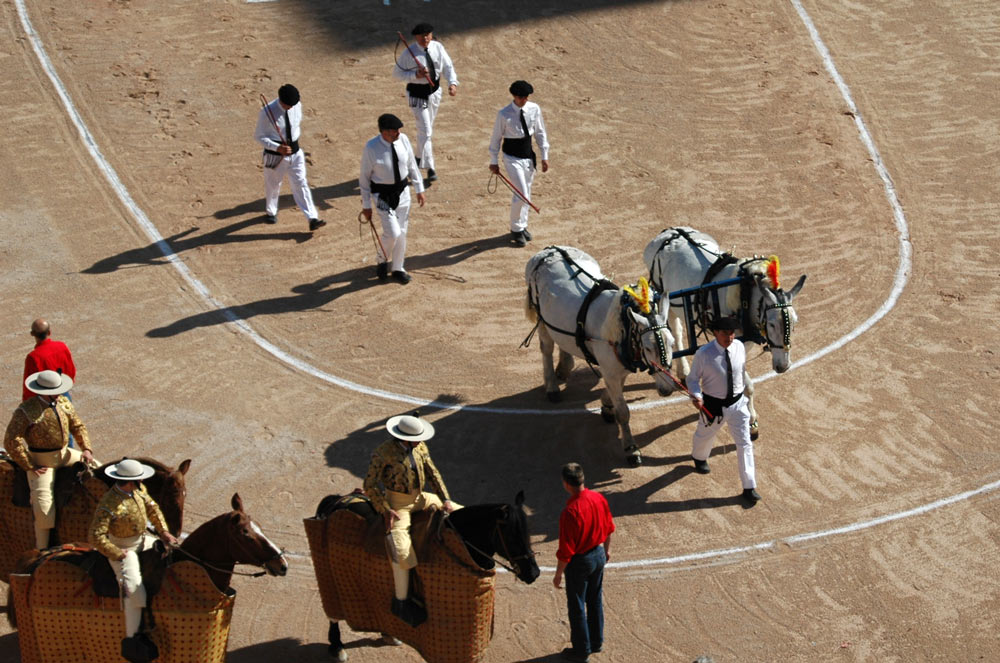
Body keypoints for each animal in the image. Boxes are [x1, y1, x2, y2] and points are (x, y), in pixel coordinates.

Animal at [318, 490, 540, 660]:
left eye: (528, 531)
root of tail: (338, 500)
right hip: (330, 575)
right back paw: (337, 647)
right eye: (512, 535)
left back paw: (388, 635)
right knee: (332, 611)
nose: (534, 573)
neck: (460, 543)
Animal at [524, 245, 680, 466]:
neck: (623, 325)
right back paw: (552, 387)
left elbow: (614, 391)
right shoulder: (611, 370)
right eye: (649, 348)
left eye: (672, 343)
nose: (667, 390)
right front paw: (631, 448)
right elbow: (623, 412)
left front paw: (606, 405)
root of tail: (546, 251)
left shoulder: (618, 369)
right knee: (546, 349)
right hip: (542, 321)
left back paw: (563, 368)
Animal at [648, 226, 804, 438]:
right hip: (668, 302)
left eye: (794, 322)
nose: (783, 366)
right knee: (677, 333)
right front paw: (752, 421)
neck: (746, 293)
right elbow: (747, 386)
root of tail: (667, 234)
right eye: (771, 324)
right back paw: (683, 370)